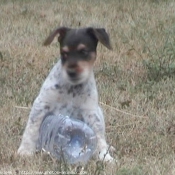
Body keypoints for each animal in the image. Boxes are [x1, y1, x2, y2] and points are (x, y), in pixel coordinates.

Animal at [17, 26, 115, 163]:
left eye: (83, 51)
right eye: (64, 53)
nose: (71, 72)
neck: (72, 88)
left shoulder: (91, 112)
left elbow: (99, 137)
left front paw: (105, 157)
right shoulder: (41, 104)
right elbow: (31, 129)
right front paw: (25, 150)